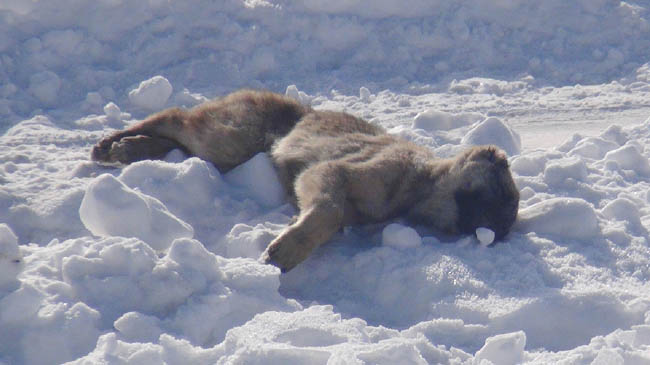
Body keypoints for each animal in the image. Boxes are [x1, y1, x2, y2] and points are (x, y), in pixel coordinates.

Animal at [91, 89, 520, 272]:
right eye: (497, 195)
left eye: (503, 220)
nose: (489, 233)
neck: (419, 184)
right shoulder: (336, 172)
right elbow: (327, 209)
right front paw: (287, 248)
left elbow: (332, 215)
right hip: (231, 134)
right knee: (176, 117)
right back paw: (112, 144)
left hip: (226, 150)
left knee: (177, 139)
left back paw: (130, 149)